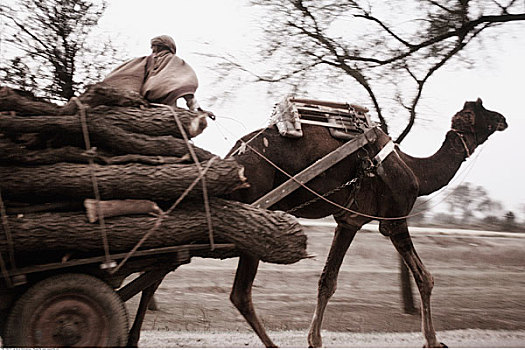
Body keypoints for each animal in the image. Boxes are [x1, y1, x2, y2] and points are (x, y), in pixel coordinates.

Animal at [227, 98, 506, 348]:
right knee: (241, 292)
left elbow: (327, 280)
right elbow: (425, 277)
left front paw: (314, 339)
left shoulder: (348, 221)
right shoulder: (394, 220)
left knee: (239, 290)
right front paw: (432, 341)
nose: (503, 119)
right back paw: (271, 343)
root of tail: (235, 154)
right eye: (483, 111)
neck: (415, 171)